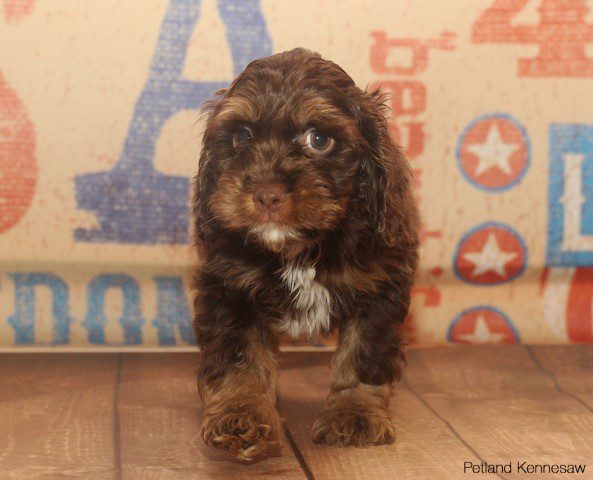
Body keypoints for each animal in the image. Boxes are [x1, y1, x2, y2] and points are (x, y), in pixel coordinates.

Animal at [192, 48, 418, 462]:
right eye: (241, 136)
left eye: (319, 139)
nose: (267, 194)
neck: (299, 249)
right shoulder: (230, 289)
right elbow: (240, 359)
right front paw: (241, 416)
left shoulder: (378, 290)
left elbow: (362, 355)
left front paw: (354, 414)